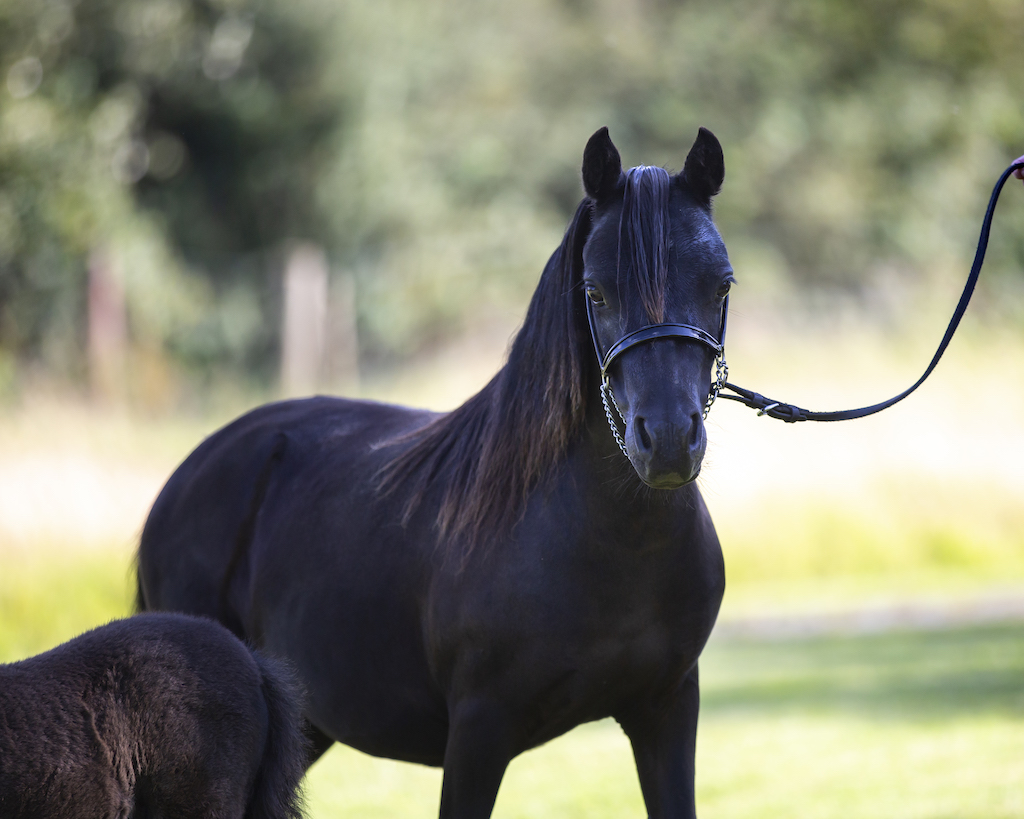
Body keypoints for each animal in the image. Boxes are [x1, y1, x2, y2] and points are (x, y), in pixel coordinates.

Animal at [137, 126, 733, 819]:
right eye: (596, 292)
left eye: (721, 286)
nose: (666, 443)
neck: (611, 544)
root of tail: (186, 478)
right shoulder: (478, 732)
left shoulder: (666, 711)